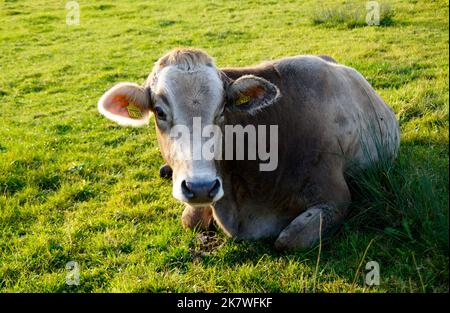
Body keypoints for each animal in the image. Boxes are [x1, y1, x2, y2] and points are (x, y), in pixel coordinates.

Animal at [98, 47, 400, 250]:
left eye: (222, 109)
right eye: (160, 112)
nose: (200, 187)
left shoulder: (335, 198)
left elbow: (287, 240)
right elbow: (190, 220)